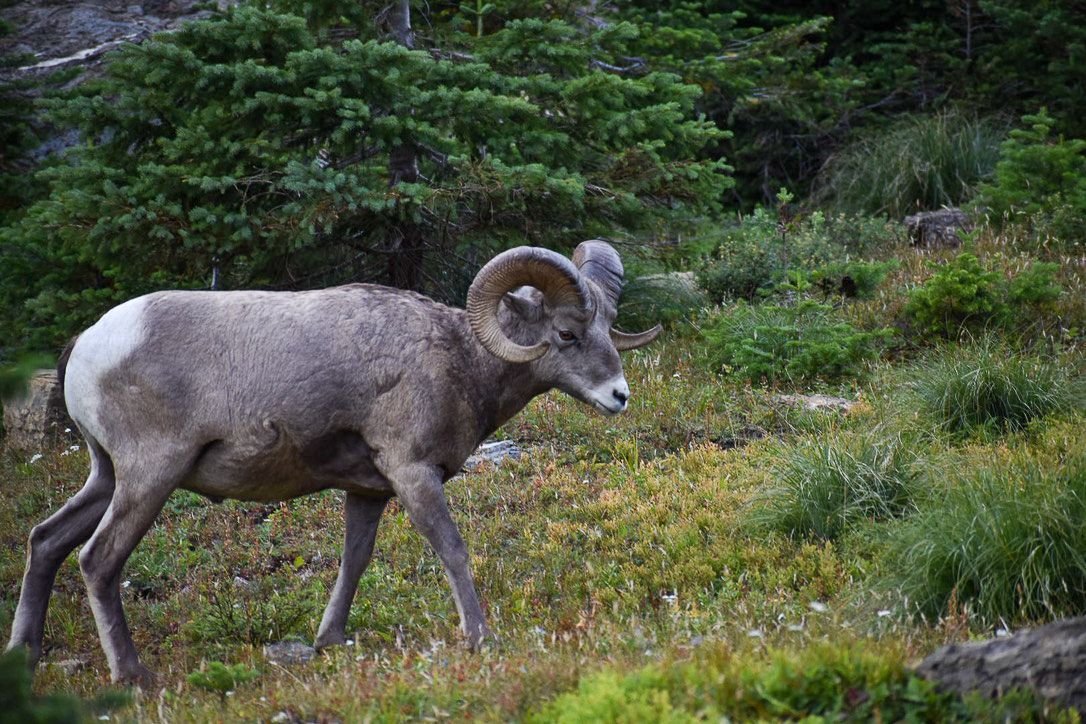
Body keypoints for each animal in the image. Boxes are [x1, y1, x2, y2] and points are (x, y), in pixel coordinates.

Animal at [6, 241, 660, 687]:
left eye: (608, 326)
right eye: (567, 333)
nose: (619, 397)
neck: (458, 357)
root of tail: (89, 345)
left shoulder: (367, 491)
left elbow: (355, 561)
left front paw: (330, 641)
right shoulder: (412, 472)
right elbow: (452, 549)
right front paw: (479, 639)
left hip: (105, 477)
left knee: (46, 541)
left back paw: (25, 655)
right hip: (148, 478)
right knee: (97, 560)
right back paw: (132, 676)